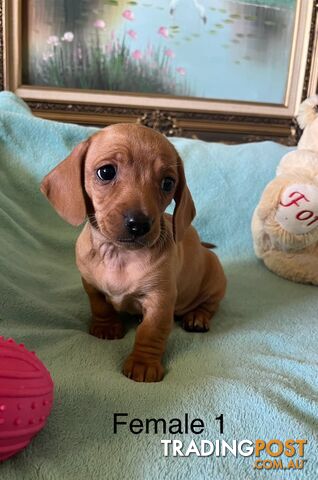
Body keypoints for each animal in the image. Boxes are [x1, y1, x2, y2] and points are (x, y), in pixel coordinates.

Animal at [41, 124, 226, 382]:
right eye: (106, 172)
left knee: (210, 305)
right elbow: (100, 306)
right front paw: (106, 327)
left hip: (215, 281)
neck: (118, 255)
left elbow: (151, 332)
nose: (139, 224)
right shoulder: (90, 285)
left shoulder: (160, 300)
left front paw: (143, 363)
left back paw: (197, 317)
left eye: (168, 183)